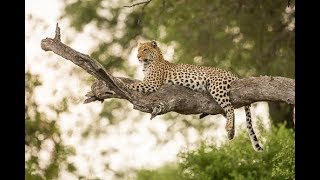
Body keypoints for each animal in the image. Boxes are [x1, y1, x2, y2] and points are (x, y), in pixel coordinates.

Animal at [126, 40, 264, 151]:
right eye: (138, 50)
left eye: (145, 49)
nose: (138, 56)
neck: (148, 63)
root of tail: (232, 73)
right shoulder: (148, 82)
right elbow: (136, 83)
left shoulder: (152, 83)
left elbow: (134, 84)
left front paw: (122, 84)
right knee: (230, 111)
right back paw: (231, 133)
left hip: (216, 88)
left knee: (230, 108)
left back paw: (228, 127)